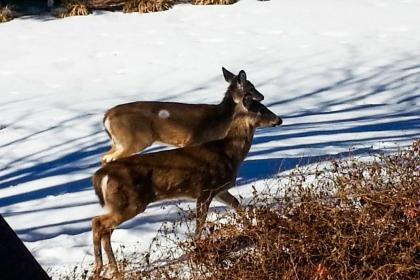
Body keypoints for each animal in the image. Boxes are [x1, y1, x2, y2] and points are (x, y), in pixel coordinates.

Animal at [91, 91, 282, 274]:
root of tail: (102, 174)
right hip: (130, 201)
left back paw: (112, 269)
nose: (279, 119)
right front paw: (196, 247)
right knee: (98, 223)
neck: (230, 152)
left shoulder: (220, 189)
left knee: (105, 229)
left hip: (120, 203)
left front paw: (251, 229)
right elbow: (200, 222)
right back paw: (100, 267)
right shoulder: (206, 188)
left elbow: (237, 204)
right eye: (261, 109)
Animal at [101, 68, 264, 164]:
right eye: (251, 88)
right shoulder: (194, 140)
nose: (262, 96)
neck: (220, 120)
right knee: (110, 158)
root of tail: (106, 117)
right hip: (134, 139)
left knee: (104, 157)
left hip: (118, 141)